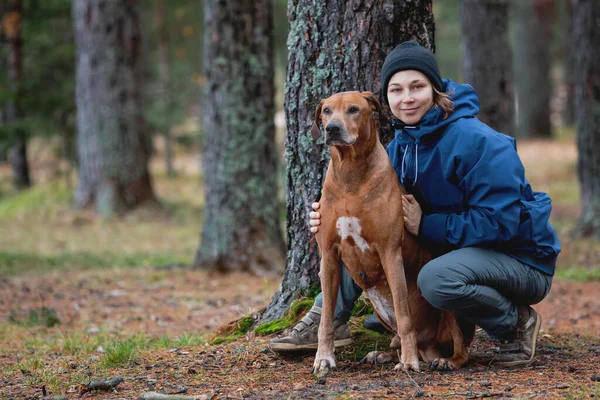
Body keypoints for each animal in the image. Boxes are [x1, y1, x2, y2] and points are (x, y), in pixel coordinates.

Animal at [310, 92, 474, 374]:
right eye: (327, 111)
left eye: (353, 109)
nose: (333, 129)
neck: (350, 173)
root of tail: (429, 348)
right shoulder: (329, 256)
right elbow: (326, 319)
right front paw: (323, 357)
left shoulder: (390, 251)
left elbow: (404, 314)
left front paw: (408, 362)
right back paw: (386, 355)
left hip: (450, 314)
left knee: (457, 344)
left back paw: (444, 360)